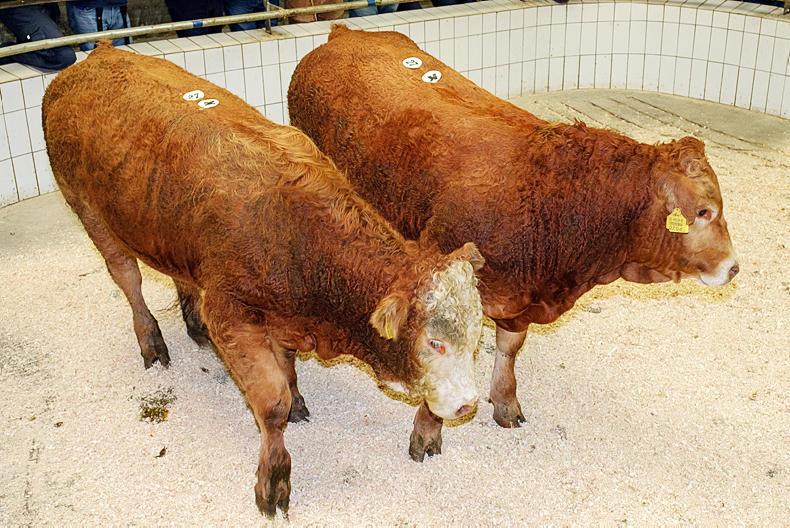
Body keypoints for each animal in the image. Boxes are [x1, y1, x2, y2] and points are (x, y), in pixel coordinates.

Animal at [42, 42, 485, 517]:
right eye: (434, 343)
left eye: (476, 339)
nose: (468, 403)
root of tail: (96, 57)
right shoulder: (231, 313)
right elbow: (272, 404)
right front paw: (273, 476)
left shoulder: (280, 316)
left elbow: (286, 367)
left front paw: (298, 398)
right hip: (90, 212)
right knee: (128, 280)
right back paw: (151, 341)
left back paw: (193, 325)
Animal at [288, 26, 739, 456]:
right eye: (703, 211)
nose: (733, 267)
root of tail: (346, 34)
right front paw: (428, 430)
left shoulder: (520, 298)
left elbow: (509, 349)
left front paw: (504, 401)